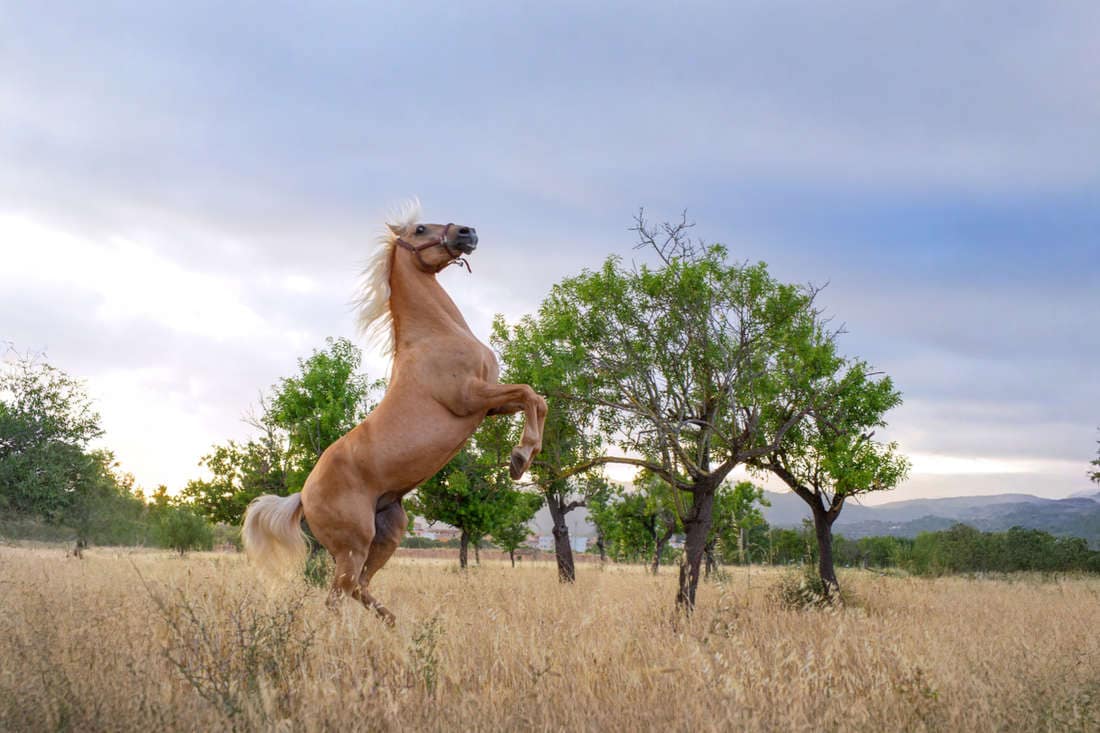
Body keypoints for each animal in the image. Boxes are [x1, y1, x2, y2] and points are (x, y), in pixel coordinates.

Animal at [242, 201, 547, 624]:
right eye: (419, 229)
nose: (468, 232)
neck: (435, 335)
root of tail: (302, 495)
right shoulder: (470, 398)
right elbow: (530, 394)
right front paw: (520, 459)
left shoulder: (490, 405)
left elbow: (536, 399)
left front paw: (523, 458)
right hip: (353, 545)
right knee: (339, 593)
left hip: (388, 532)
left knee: (360, 587)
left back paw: (393, 624)